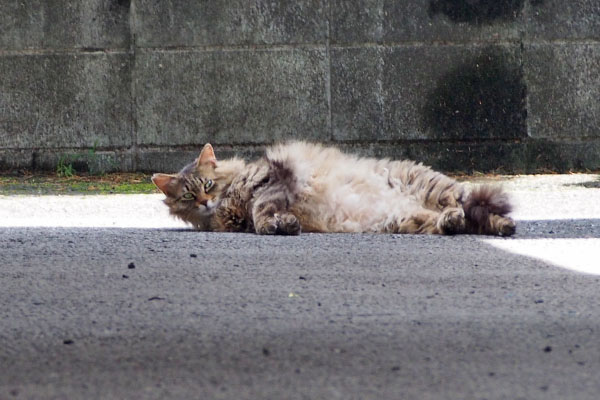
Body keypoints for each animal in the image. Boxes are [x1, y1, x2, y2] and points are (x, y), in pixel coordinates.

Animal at [151, 141, 516, 236]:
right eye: (189, 195)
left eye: (208, 184)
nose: (205, 202)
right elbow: (263, 219)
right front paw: (285, 225)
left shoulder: (271, 182)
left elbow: (260, 211)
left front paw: (275, 226)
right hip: (405, 219)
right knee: (458, 221)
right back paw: (458, 223)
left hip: (435, 189)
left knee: (468, 206)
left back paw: (504, 226)